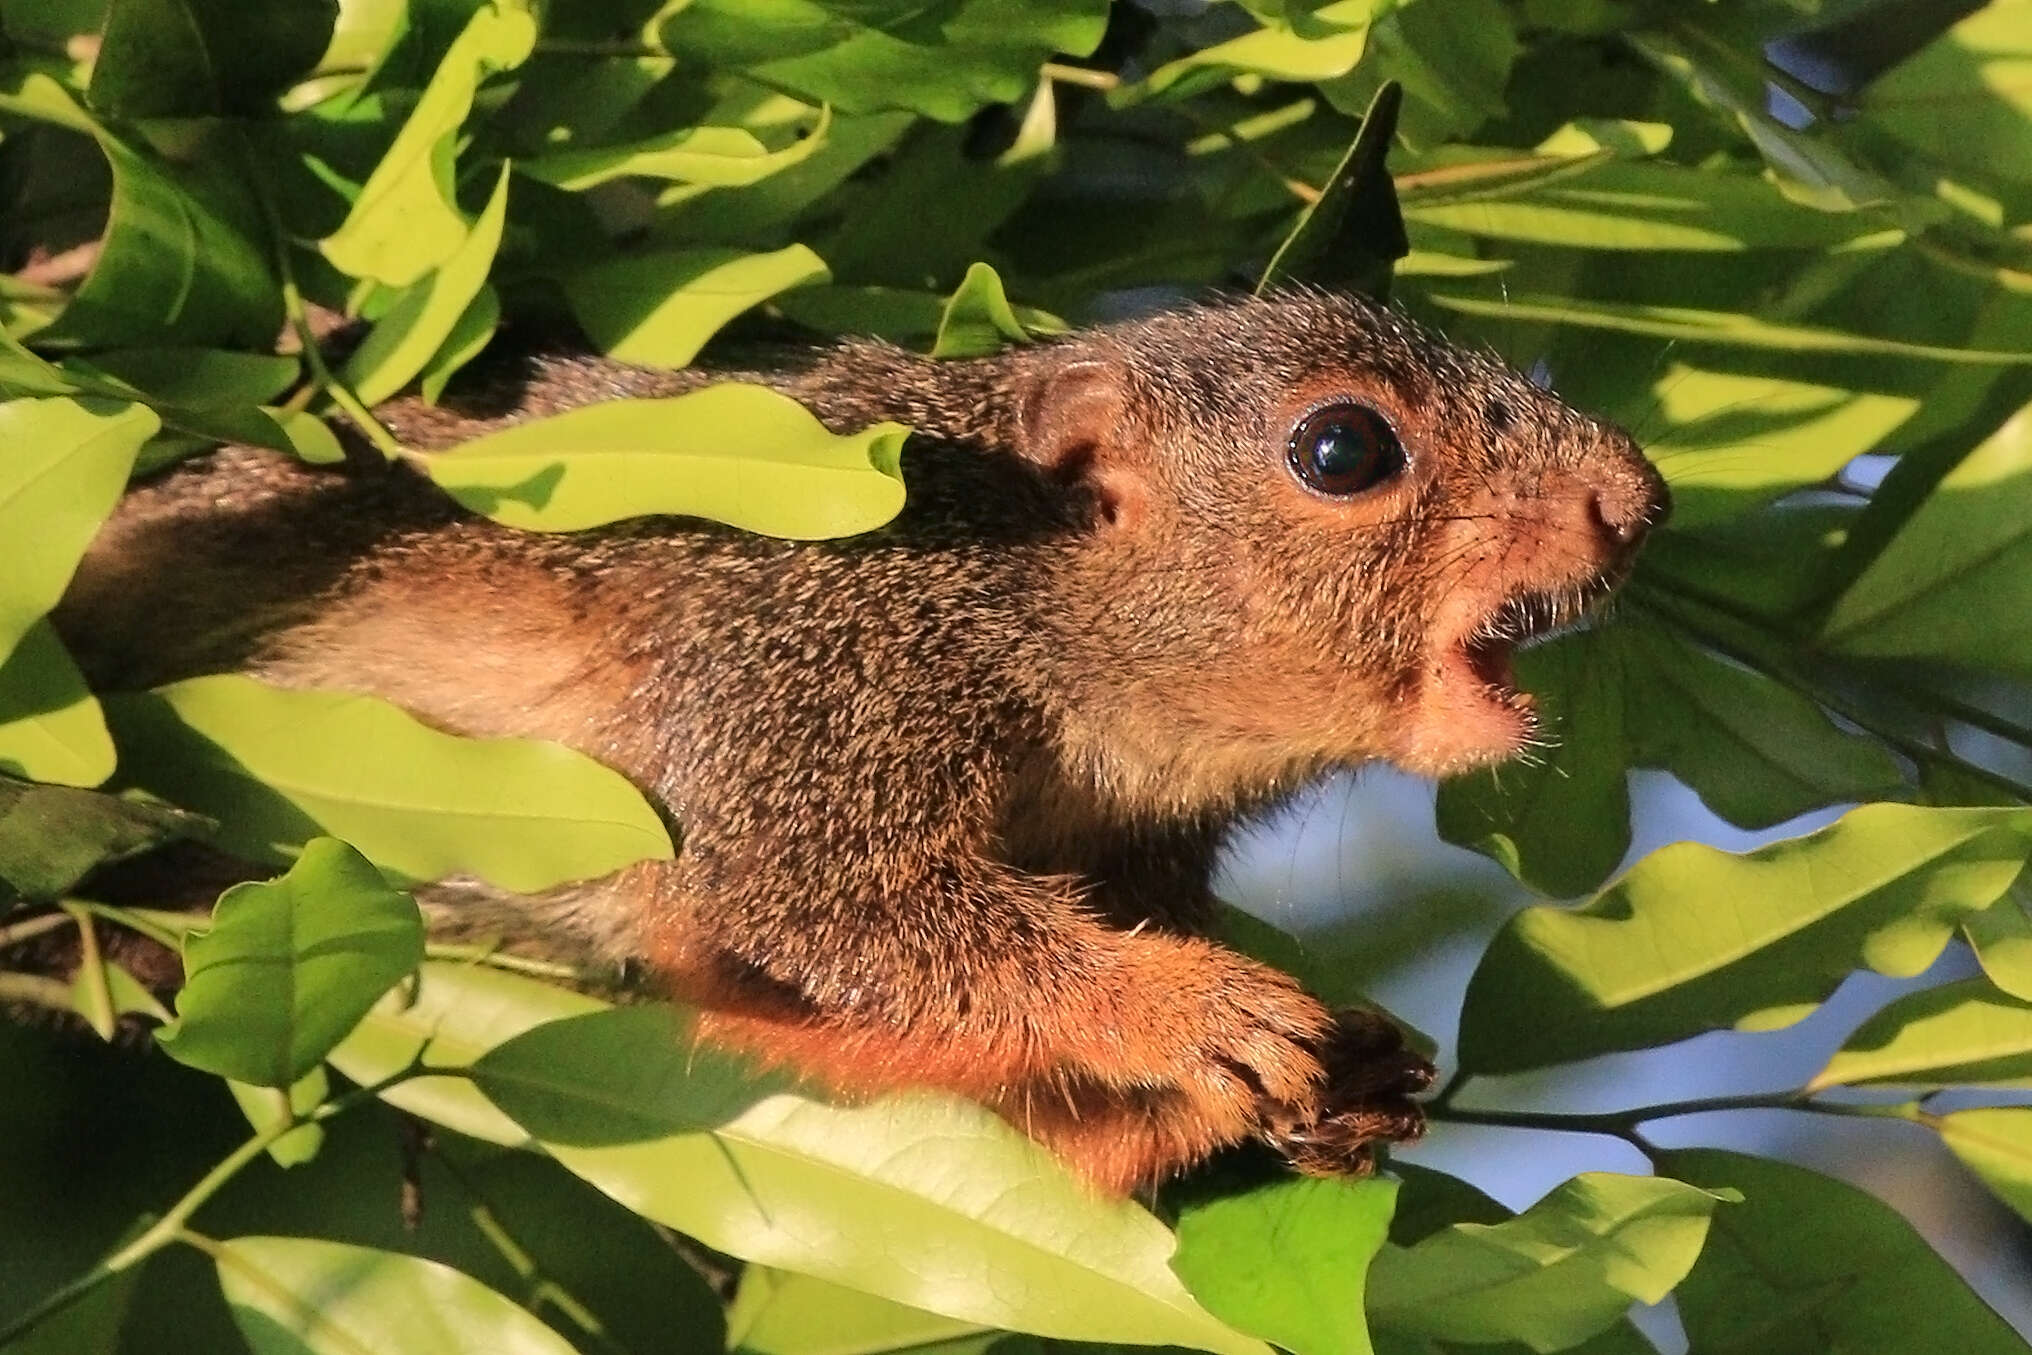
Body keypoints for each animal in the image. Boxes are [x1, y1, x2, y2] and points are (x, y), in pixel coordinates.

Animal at [51, 292, 1666, 1194]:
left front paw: (1341, 1079)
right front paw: (1194, 1009)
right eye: (1344, 448)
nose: (1635, 499)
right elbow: (825, 898)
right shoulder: (806, 666)